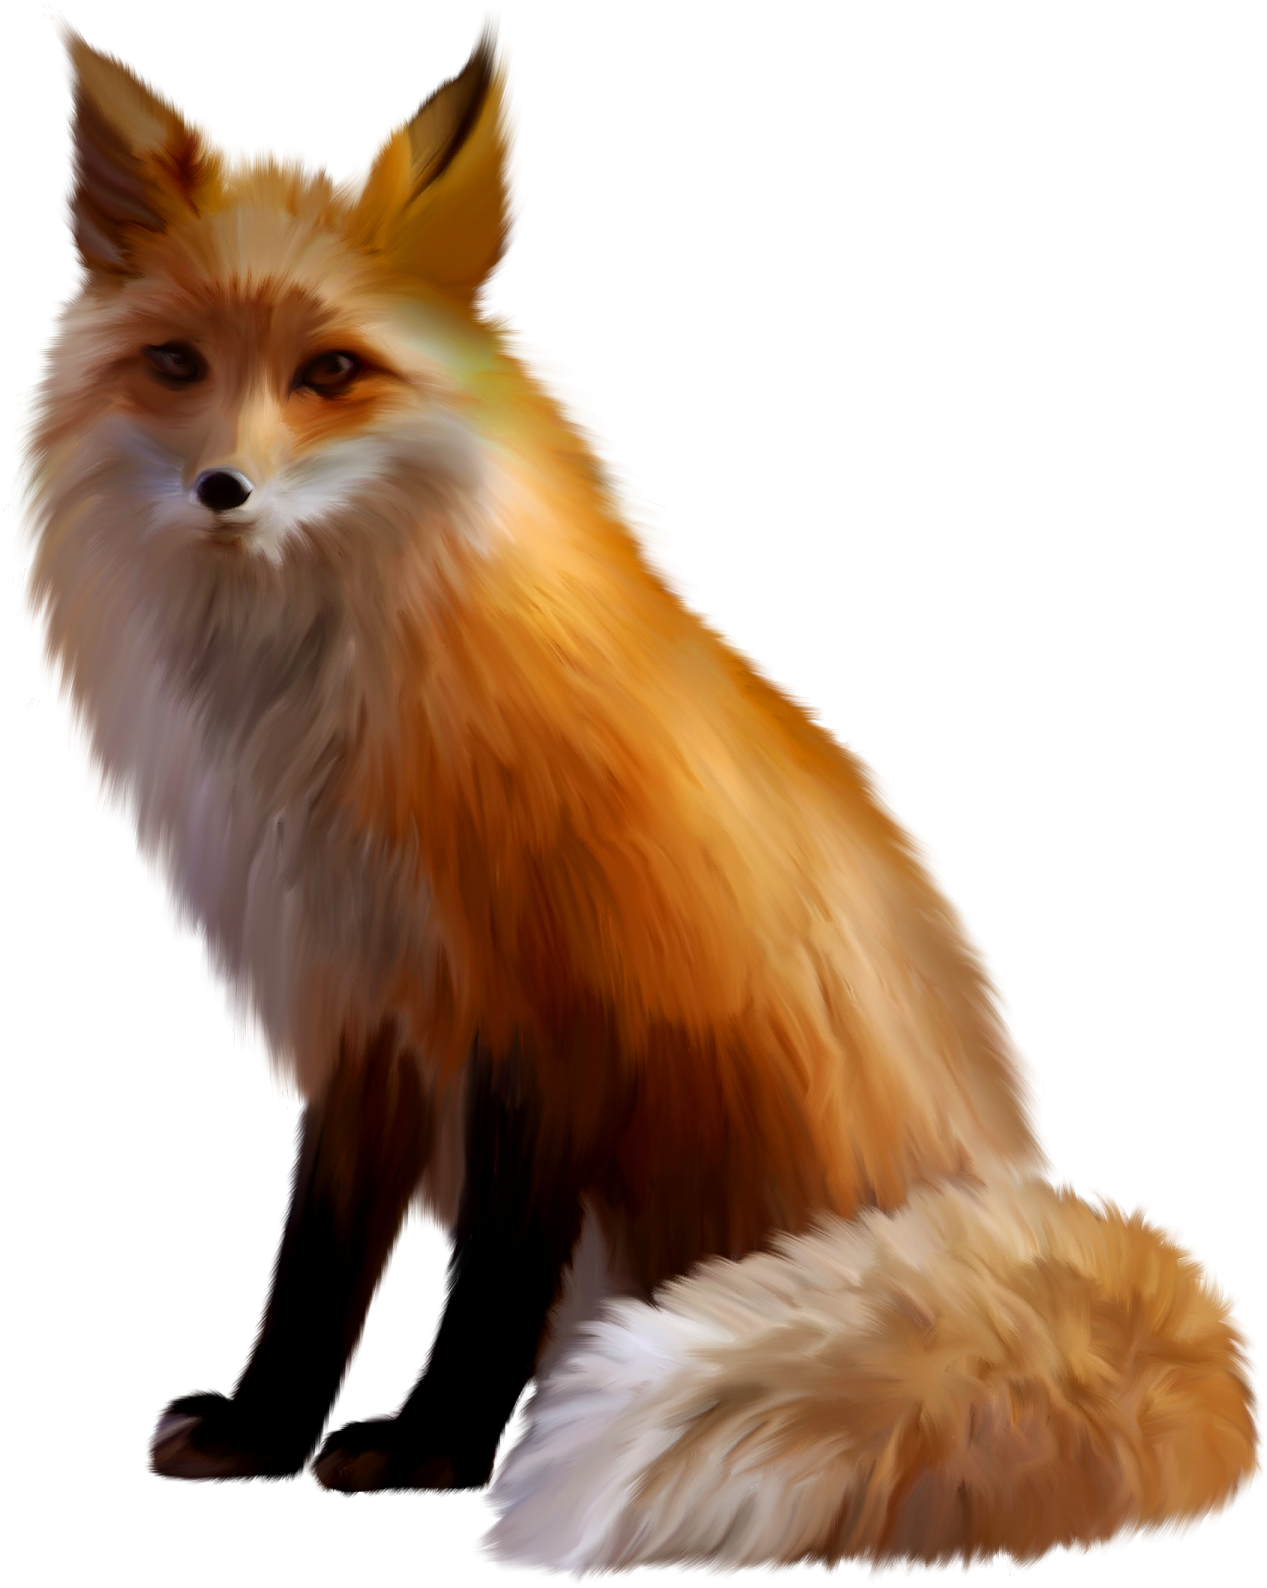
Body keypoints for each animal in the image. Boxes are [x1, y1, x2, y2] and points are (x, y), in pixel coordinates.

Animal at [8, 5, 1261, 1581]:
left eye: (331, 372)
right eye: (176, 363)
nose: (222, 489)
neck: (329, 730)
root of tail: (1024, 1203)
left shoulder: (558, 1016)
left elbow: (490, 1274)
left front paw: (426, 1451)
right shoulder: (363, 1009)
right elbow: (318, 1251)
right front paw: (261, 1426)